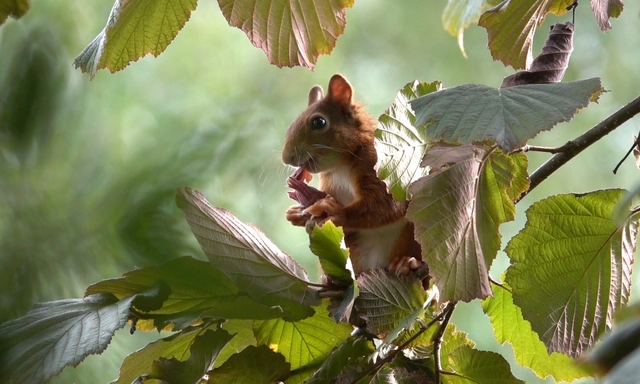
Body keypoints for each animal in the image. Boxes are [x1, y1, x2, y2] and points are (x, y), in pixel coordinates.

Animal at [282, 73, 422, 276]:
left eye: (319, 122)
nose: (286, 158)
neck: (340, 166)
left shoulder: (380, 169)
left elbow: (385, 205)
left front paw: (336, 212)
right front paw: (297, 213)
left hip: (412, 236)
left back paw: (406, 263)